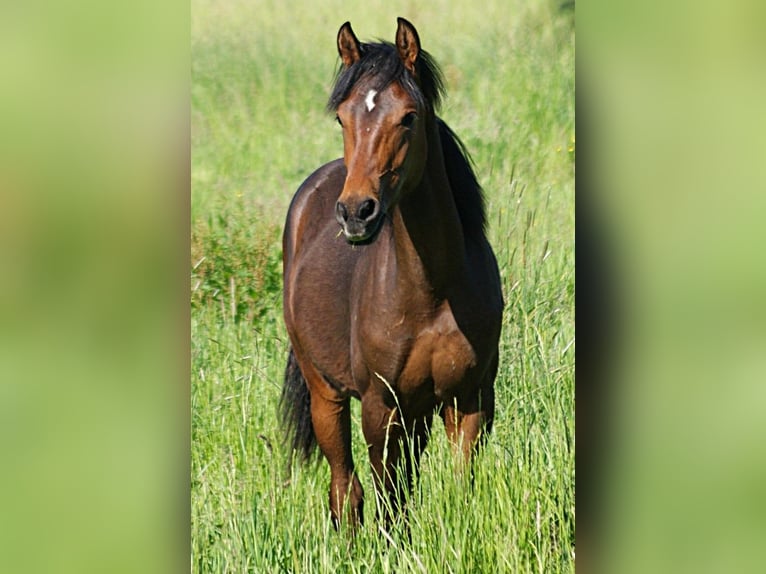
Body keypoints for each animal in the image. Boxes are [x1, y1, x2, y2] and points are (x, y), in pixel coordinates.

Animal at [282, 18, 504, 532]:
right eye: (342, 118)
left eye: (408, 117)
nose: (355, 214)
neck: (433, 290)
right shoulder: (380, 406)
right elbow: (388, 502)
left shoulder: (470, 399)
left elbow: (459, 491)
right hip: (327, 395)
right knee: (345, 490)